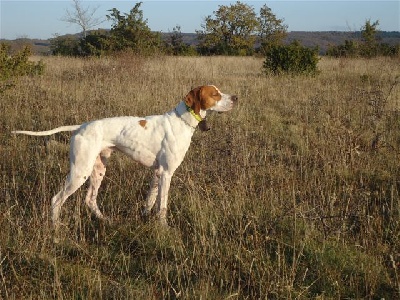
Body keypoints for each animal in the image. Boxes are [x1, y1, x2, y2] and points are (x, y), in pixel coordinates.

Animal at [12, 85, 238, 229]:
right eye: (215, 94)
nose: (236, 97)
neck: (181, 120)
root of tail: (80, 127)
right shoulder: (166, 173)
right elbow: (162, 206)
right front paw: (164, 229)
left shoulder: (157, 173)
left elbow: (150, 201)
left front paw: (145, 218)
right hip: (79, 172)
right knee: (56, 199)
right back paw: (56, 229)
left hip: (98, 169)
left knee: (90, 199)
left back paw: (105, 220)